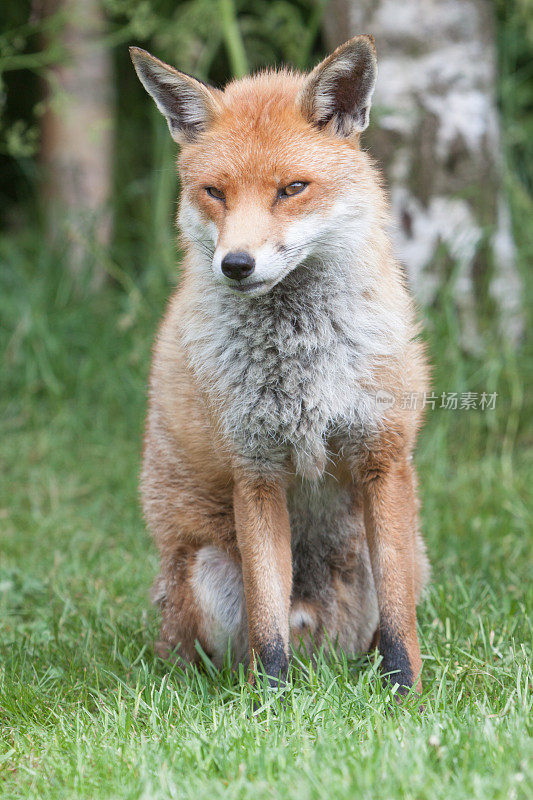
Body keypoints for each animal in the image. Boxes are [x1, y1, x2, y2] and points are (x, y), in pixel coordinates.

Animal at [132, 36, 428, 692]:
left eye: (292, 188)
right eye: (215, 192)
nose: (236, 264)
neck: (303, 360)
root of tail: (323, 640)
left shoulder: (383, 455)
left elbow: (400, 621)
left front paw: (407, 696)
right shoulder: (257, 469)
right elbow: (268, 628)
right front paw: (270, 706)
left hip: (411, 556)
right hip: (206, 572)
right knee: (235, 647)